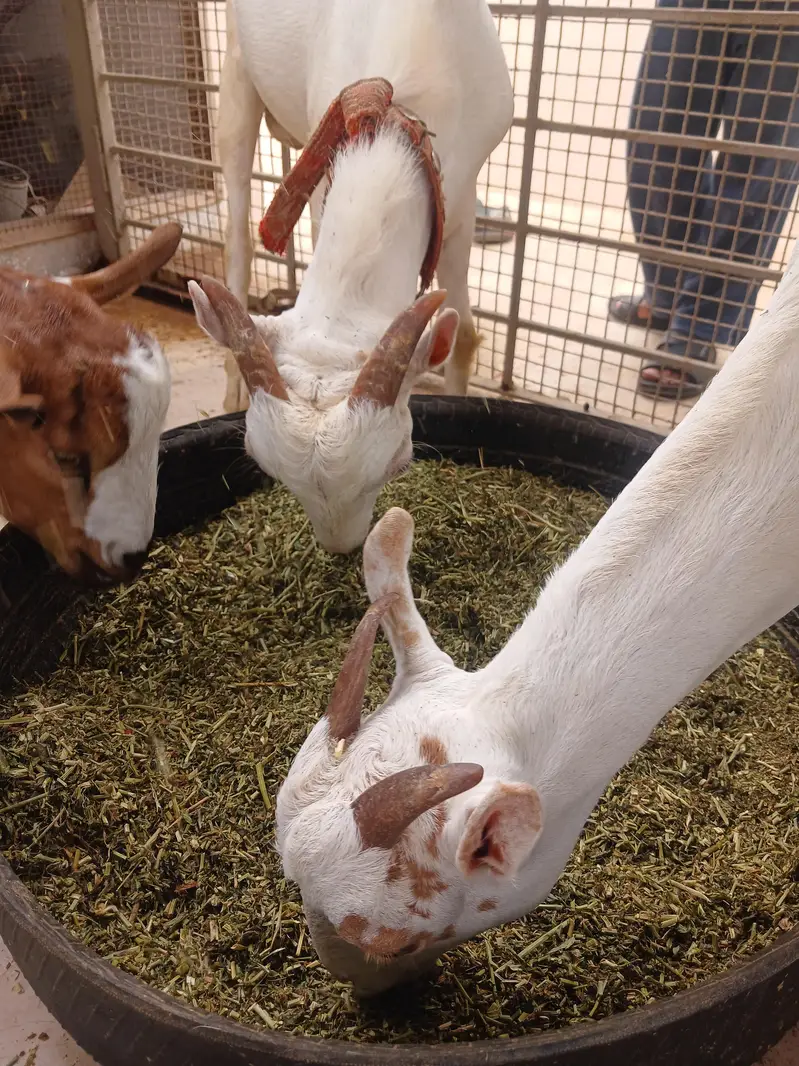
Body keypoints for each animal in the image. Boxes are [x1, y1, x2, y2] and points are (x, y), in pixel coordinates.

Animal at [188, 0, 513, 552]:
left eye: (400, 461)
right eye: (257, 460)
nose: (342, 547)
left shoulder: (464, 187)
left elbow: (466, 334)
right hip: (236, 69)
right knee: (237, 228)